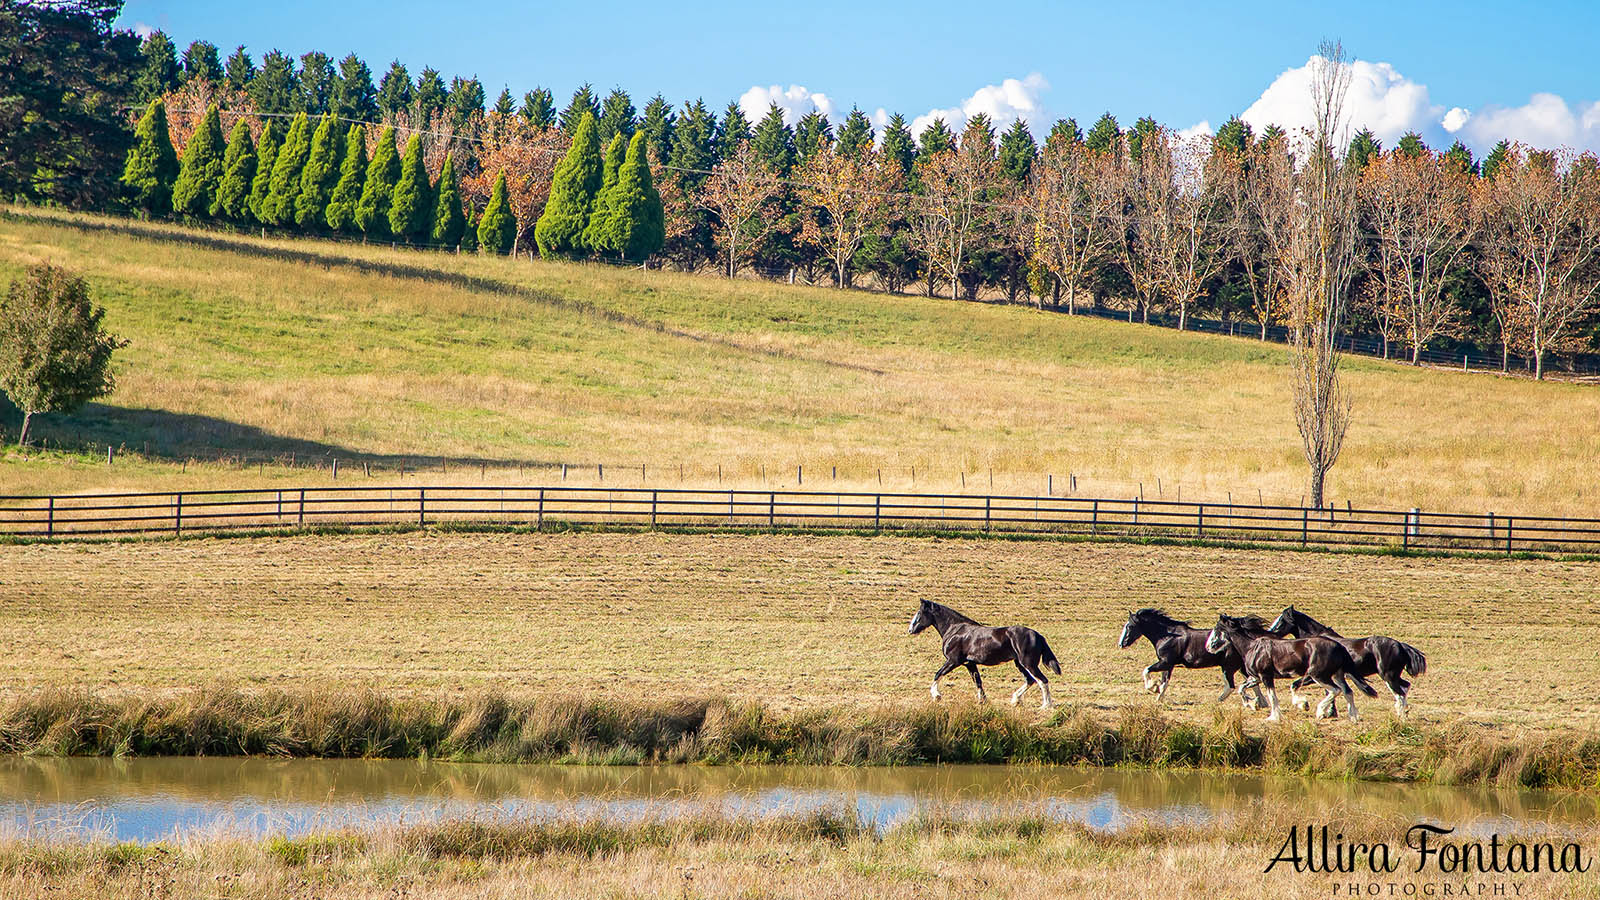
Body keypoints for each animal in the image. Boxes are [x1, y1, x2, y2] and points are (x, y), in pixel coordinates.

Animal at [915, 598, 1062, 704]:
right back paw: (1016, 700)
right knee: (1030, 680)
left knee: (1042, 680)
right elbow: (978, 681)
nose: (911, 630)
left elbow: (938, 674)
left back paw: (1046, 706)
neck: (955, 630)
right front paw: (983, 701)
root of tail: (1037, 635)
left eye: (920, 613)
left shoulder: (953, 661)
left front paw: (936, 696)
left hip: (1028, 663)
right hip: (1020, 664)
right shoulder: (969, 664)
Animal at [1120, 602, 1267, 707]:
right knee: (1253, 682)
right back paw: (1260, 703)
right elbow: (1164, 682)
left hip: (1228, 667)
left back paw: (1220, 701)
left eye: (1129, 626)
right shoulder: (1168, 665)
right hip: (1240, 667)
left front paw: (1152, 687)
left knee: (1231, 686)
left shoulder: (1165, 662)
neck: (1168, 636)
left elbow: (1146, 671)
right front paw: (1158, 697)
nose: (1121, 644)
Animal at [1209, 611, 1376, 717]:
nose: (1209, 646)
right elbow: (1241, 689)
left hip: (1318, 675)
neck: (1252, 647)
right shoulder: (1255, 677)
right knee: (1347, 691)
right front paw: (1252, 704)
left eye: (1217, 629)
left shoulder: (1266, 676)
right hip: (1336, 675)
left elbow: (1273, 696)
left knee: (1335, 690)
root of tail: (1339, 646)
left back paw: (1320, 711)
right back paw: (1353, 717)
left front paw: (1276, 715)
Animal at [1273, 602, 1427, 714]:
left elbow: (1295, 685)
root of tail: (1401, 645)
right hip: (1393, 676)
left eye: (1281, 621)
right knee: (1405, 687)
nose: (1271, 631)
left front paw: (1310, 707)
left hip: (1388, 676)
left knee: (1400, 694)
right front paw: (1329, 712)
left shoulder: (1313, 675)